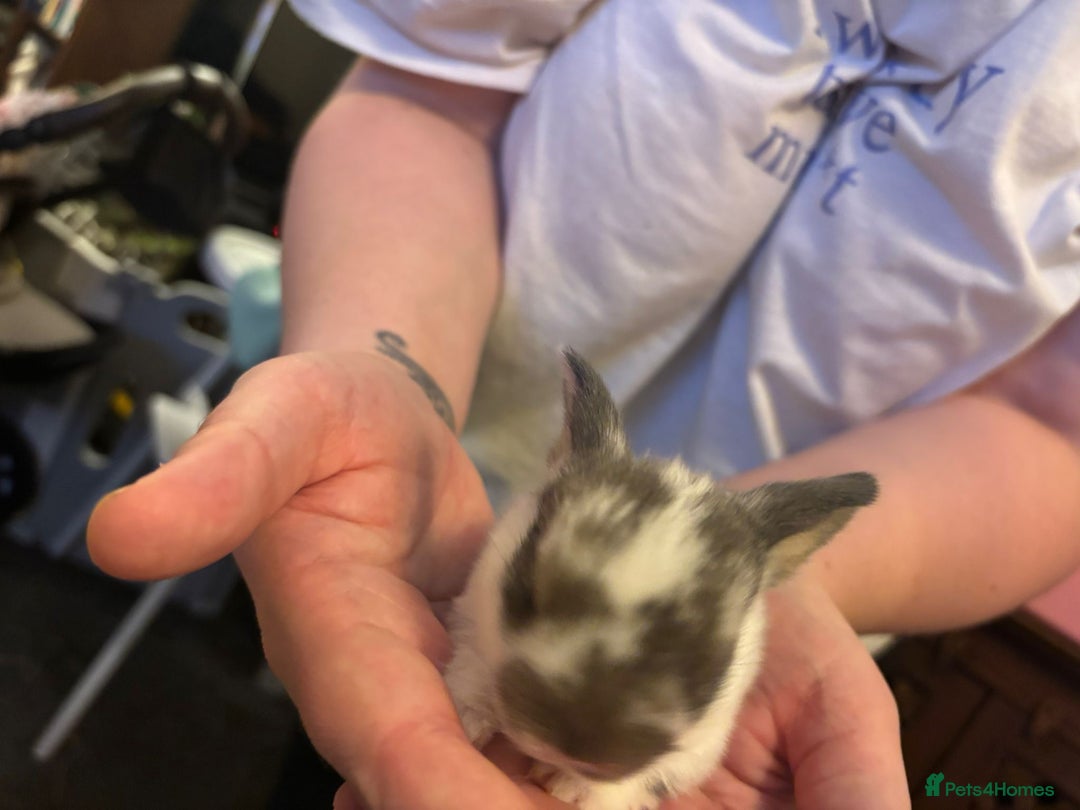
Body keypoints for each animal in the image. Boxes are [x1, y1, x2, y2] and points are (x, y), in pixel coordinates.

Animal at [443, 348, 877, 809]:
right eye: (526, 591)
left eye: (708, 664)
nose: (579, 749)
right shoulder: (471, 621)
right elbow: (472, 670)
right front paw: (469, 720)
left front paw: (569, 787)